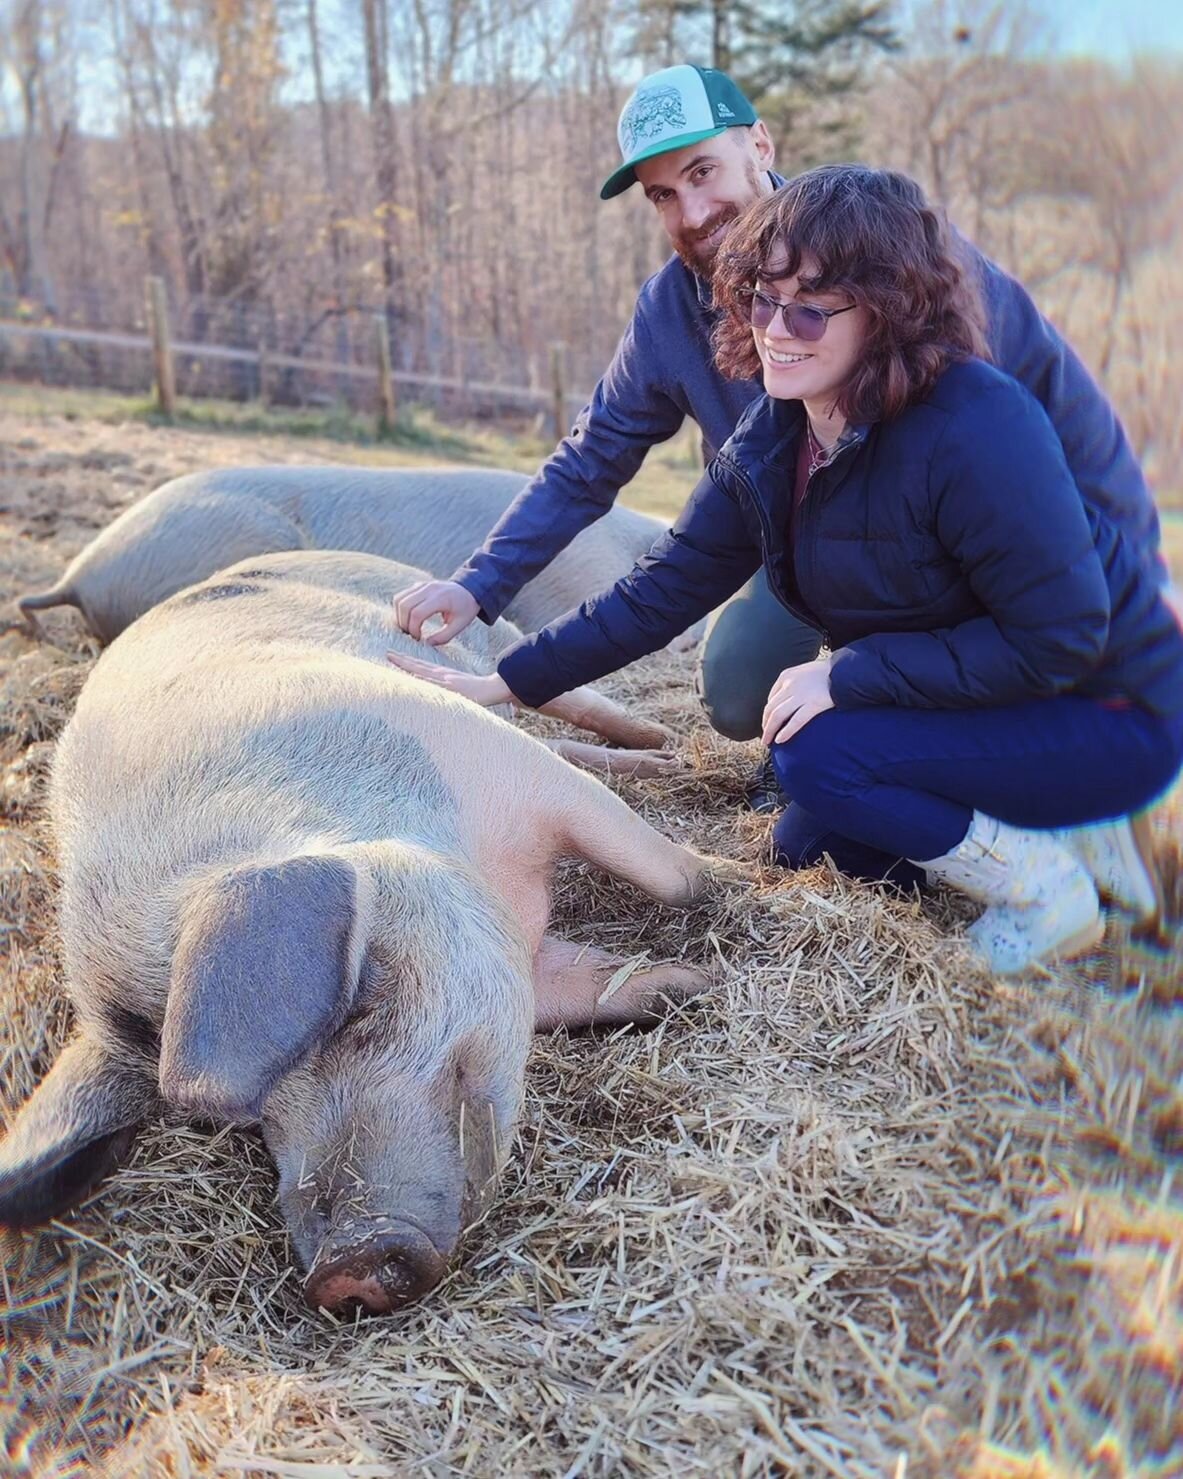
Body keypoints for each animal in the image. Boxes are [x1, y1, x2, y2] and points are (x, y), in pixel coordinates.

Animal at [0, 550, 739, 1313]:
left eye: (357, 1006)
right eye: (245, 1123)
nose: (341, 1268)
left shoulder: (506, 765)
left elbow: (670, 873)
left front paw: (735, 879)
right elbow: (590, 985)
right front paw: (693, 983)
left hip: (490, 645)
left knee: (567, 697)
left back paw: (666, 750)